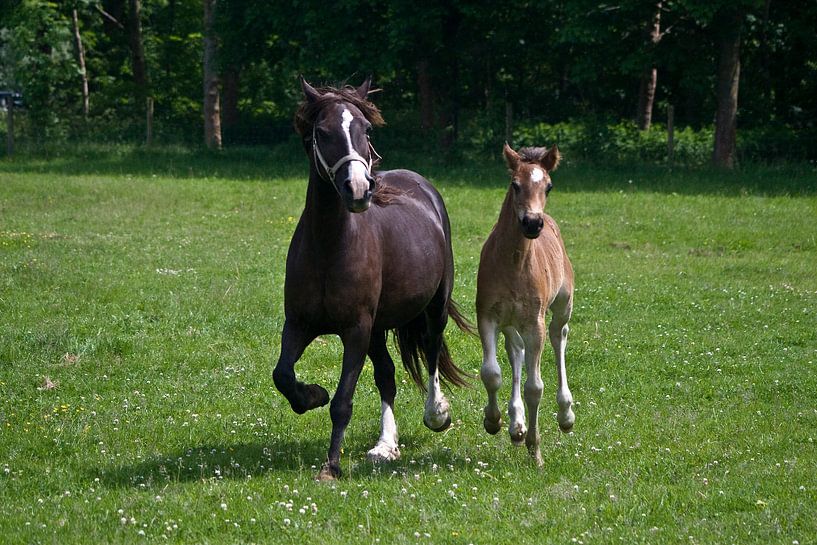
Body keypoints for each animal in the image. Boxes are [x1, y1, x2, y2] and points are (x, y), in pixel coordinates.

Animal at [272, 76, 470, 480]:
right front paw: (312, 395)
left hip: (433, 308)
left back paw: (436, 414)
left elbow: (343, 401)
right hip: (379, 328)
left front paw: (331, 466)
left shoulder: (355, 329)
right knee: (387, 376)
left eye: (366, 129)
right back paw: (385, 445)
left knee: (431, 352)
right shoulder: (300, 324)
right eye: (322, 132)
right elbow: (282, 374)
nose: (359, 189)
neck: (329, 246)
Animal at [476, 143, 575, 465]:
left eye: (549, 186)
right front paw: (494, 421)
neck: (515, 263)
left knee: (559, 337)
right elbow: (492, 373)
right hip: (511, 323)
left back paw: (565, 414)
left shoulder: (535, 323)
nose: (532, 223)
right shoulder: (488, 317)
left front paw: (536, 450)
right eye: (514, 184)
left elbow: (535, 387)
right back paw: (515, 423)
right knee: (516, 351)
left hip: (561, 308)